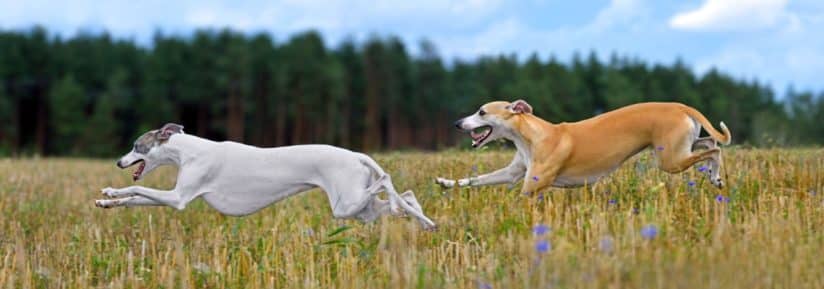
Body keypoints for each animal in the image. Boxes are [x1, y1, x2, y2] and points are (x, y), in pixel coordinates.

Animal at [95, 122, 438, 228]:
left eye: (136, 146)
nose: (119, 162)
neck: (189, 151)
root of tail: (356, 155)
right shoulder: (171, 198)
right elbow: (135, 197)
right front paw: (108, 201)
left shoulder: (178, 198)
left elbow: (141, 192)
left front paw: (111, 192)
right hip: (358, 209)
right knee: (404, 197)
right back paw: (421, 219)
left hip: (346, 204)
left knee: (386, 181)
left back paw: (403, 206)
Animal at [434, 99, 732, 194]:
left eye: (482, 112)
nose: (457, 123)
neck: (530, 135)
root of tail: (680, 106)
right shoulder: (513, 172)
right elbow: (476, 179)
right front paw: (445, 182)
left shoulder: (532, 185)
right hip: (680, 147)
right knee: (709, 142)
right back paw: (711, 173)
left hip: (669, 160)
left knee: (715, 150)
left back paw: (716, 175)